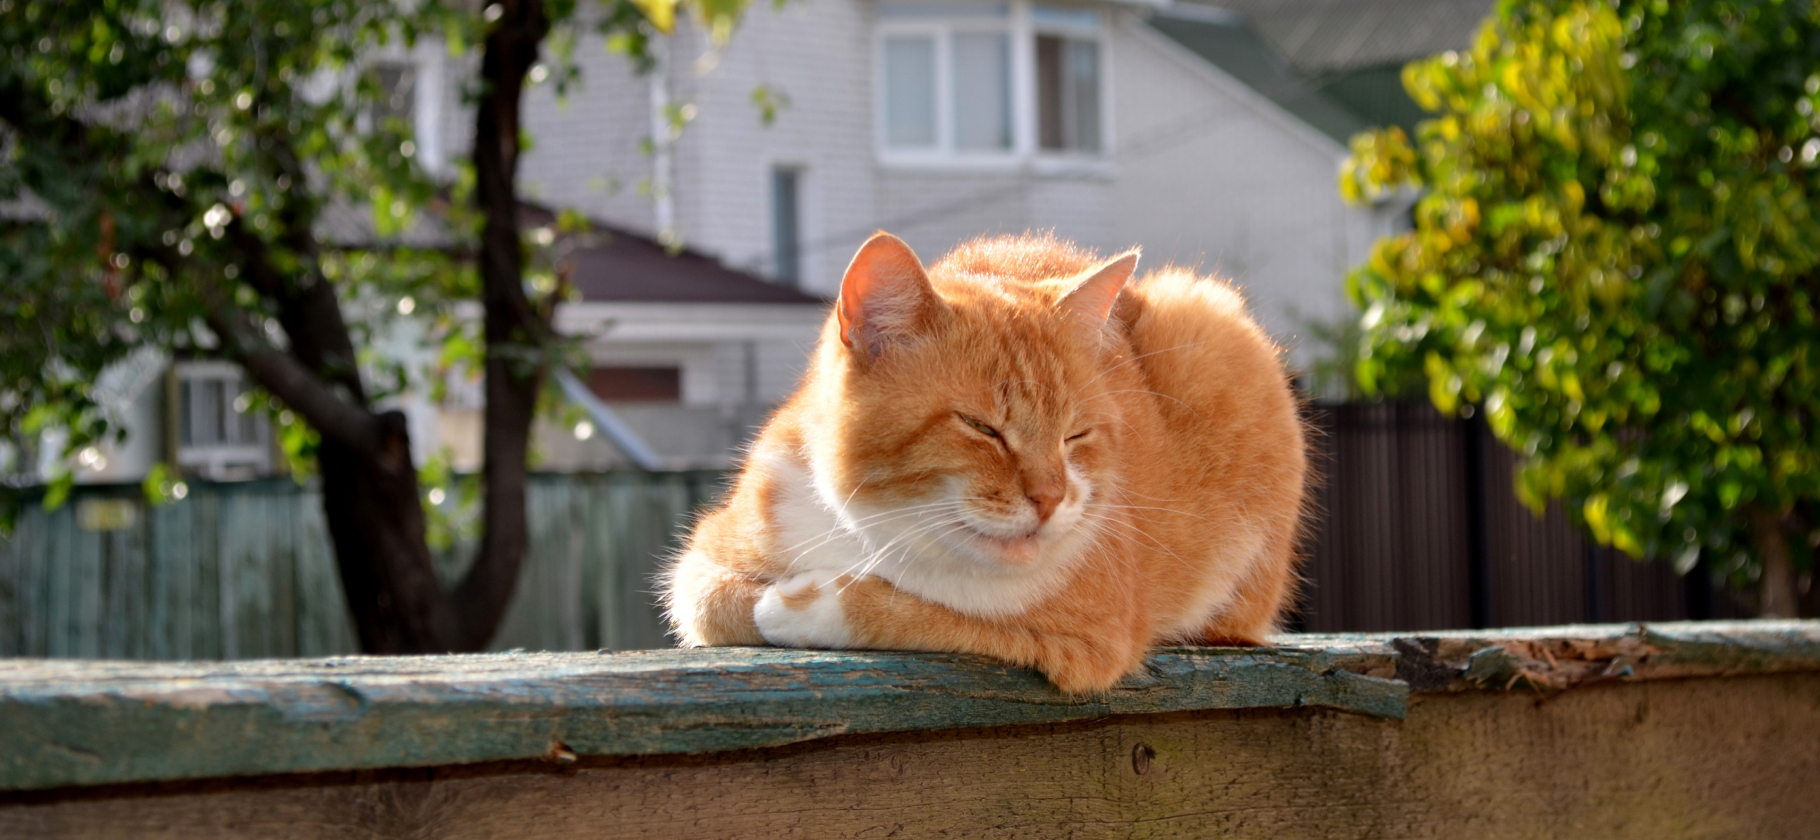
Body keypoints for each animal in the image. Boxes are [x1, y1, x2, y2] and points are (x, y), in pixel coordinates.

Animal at [662, 232, 1303, 690]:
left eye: (1076, 435)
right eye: (982, 428)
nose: (1050, 498)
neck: (881, 533)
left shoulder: (1087, 640)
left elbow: (934, 616)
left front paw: (804, 604)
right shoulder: (707, 557)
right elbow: (714, 601)